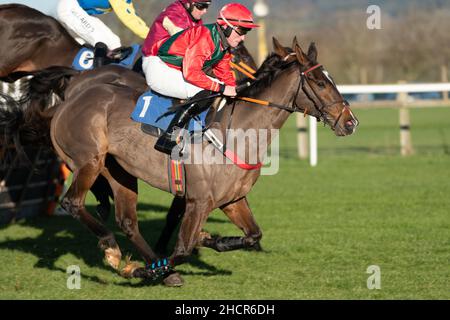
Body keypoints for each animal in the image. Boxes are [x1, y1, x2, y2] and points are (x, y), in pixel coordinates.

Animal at [0, 37, 358, 284]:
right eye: (321, 82)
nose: (350, 122)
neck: (237, 132)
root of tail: (71, 94)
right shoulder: (199, 201)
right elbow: (183, 249)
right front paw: (153, 267)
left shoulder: (233, 200)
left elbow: (253, 235)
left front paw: (211, 239)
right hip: (89, 161)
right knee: (73, 203)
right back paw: (118, 252)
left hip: (120, 172)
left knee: (127, 221)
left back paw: (144, 262)